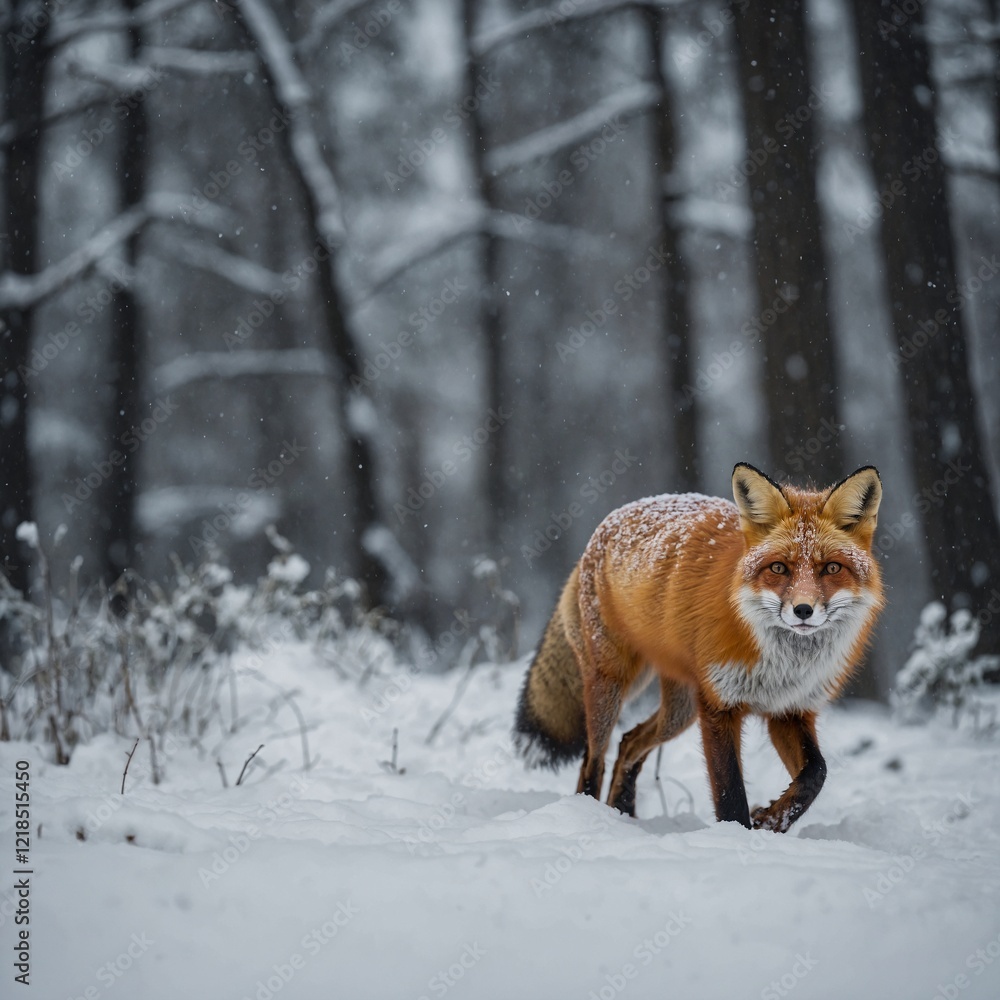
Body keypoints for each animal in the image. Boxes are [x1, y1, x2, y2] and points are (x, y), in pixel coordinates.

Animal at [513, 463, 884, 832]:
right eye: (779, 567)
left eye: (832, 568)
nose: (803, 610)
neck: (785, 665)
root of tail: (605, 525)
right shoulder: (718, 705)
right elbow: (729, 791)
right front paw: (739, 834)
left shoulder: (789, 710)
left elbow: (815, 774)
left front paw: (771, 820)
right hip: (611, 685)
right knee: (593, 760)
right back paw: (590, 812)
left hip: (680, 710)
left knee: (630, 742)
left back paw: (623, 812)